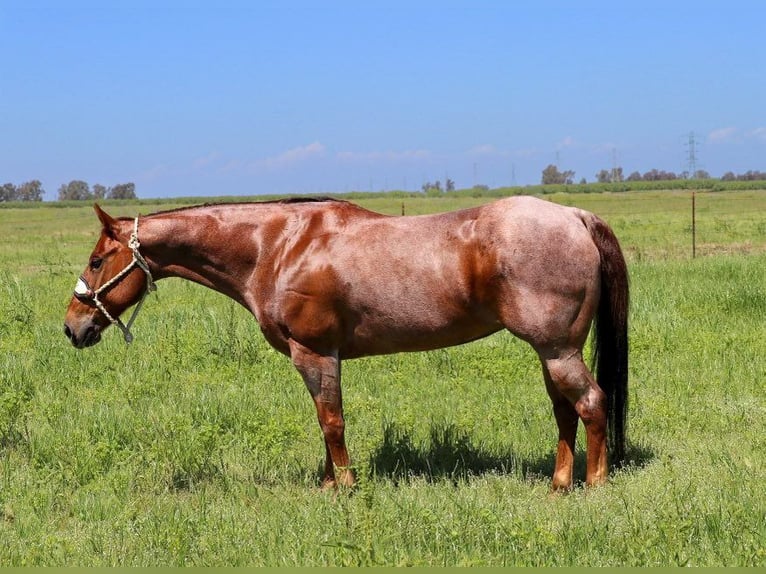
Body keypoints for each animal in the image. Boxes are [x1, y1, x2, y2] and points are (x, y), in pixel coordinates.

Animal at [64, 196, 632, 492]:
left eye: (96, 260)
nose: (72, 326)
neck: (276, 246)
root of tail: (576, 216)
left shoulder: (314, 353)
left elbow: (331, 421)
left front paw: (346, 486)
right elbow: (323, 421)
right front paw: (329, 483)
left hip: (558, 351)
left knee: (591, 403)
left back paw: (595, 486)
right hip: (550, 352)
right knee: (564, 411)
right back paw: (558, 485)